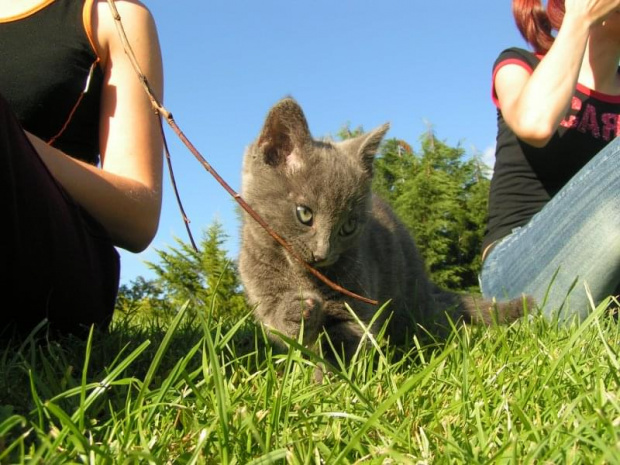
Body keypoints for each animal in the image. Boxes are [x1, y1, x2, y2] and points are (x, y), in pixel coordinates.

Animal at [237, 98, 528, 364]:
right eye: (304, 214)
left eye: (348, 226)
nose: (323, 253)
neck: (303, 276)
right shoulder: (260, 282)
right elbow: (278, 325)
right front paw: (298, 311)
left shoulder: (355, 298)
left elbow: (347, 339)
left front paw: (335, 382)